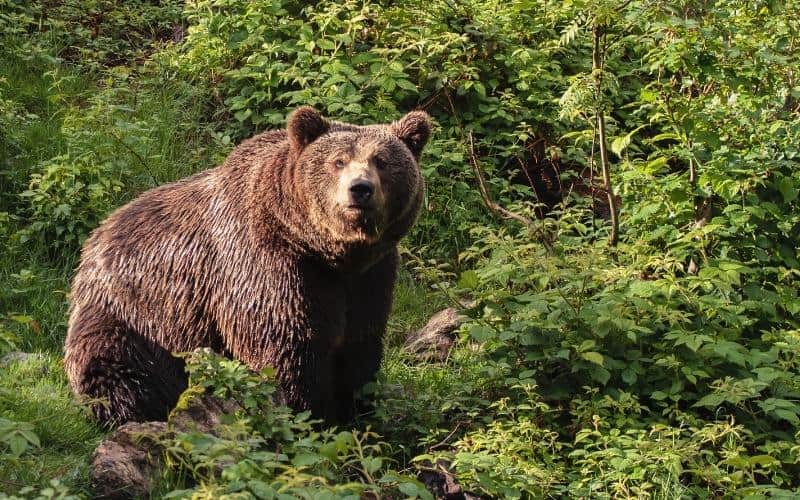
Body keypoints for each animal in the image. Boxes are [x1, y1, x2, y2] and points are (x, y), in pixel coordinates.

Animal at [64, 106, 432, 426]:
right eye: (338, 161)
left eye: (381, 161)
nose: (360, 189)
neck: (327, 251)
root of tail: (97, 235)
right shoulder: (267, 265)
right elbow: (284, 347)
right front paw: (306, 413)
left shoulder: (369, 276)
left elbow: (358, 345)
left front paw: (356, 413)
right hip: (135, 316)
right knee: (116, 368)